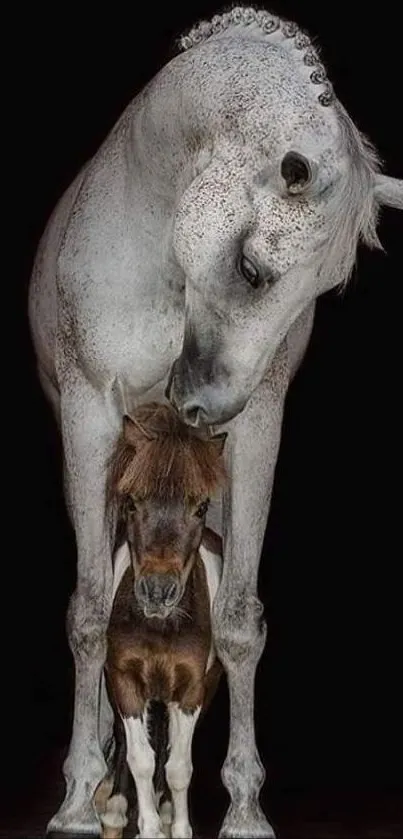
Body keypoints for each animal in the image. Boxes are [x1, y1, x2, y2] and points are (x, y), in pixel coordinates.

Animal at [97, 404, 226, 836]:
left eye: (200, 507)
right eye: (132, 504)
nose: (157, 591)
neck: (161, 629)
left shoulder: (189, 691)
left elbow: (178, 768)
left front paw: (176, 825)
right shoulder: (123, 681)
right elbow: (139, 757)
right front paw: (141, 822)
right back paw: (117, 809)